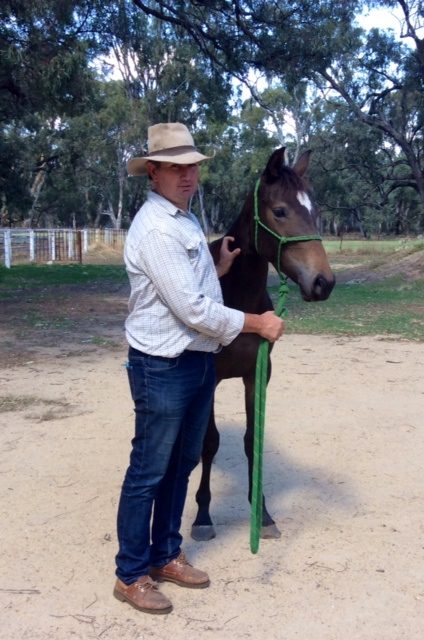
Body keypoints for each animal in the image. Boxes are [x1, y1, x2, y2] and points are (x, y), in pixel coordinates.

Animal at [191, 148, 334, 544]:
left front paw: (264, 515)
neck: (237, 301)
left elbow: (251, 440)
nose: (323, 283)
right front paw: (203, 517)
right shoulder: (209, 378)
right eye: (280, 211)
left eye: (316, 210)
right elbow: (209, 443)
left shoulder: (258, 374)